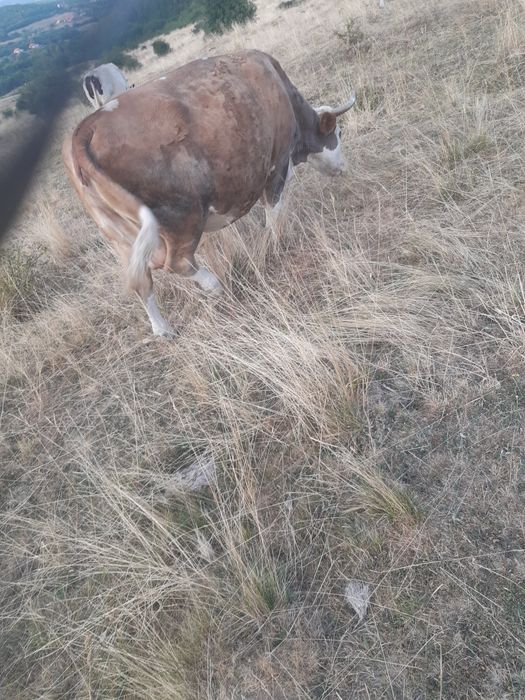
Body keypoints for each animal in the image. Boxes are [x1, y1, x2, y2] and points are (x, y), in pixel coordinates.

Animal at [64, 50, 356, 337]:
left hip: (121, 238)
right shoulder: (277, 167)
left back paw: (163, 329)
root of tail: (86, 128)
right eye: (339, 132)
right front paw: (278, 242)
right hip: (183, 216)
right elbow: (275, 214)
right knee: (177, 262)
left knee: (140, 281)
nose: (343, 167)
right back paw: (213, 285)